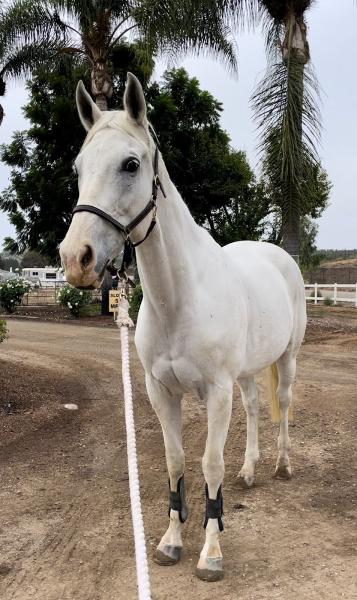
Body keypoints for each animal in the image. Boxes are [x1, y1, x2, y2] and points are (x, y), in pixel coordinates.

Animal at [59, 74, 304, 580]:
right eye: (78, 167)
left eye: (131, 164)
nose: (76, 259)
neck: (181, 300)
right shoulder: (160, 392)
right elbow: (175, 462)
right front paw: (171, 540)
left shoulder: (216, 392)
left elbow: (210, 464)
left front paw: (210, 552)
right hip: (245, 376)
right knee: (255, 407)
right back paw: (249, 471)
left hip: (287, 359)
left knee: (284, 404)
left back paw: (282, 465)